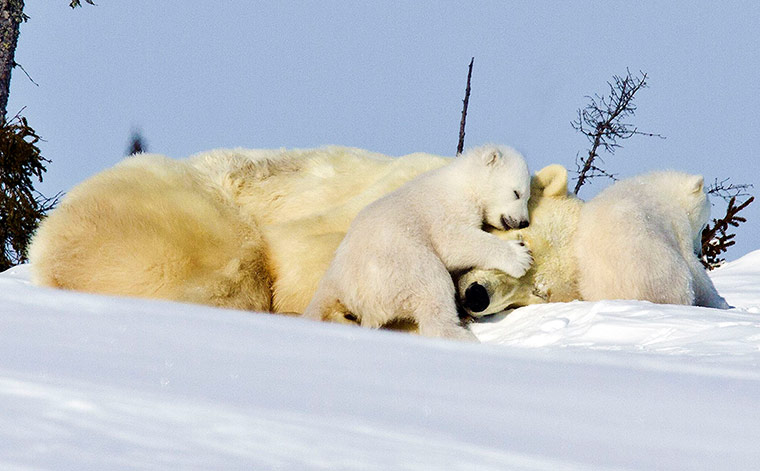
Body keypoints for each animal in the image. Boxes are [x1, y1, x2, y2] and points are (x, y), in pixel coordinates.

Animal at [300, 146, 532, 342]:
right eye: (517, 193)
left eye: (527, 197)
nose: (523, 222)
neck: (462, 182)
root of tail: (339, 284)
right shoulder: (447, 206)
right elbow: (452, 241)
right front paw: (520, 257)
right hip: (401, 265)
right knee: (434, 286)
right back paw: (461, 335)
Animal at [572, 171, 728, 308]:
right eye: (703, 226)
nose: (699, 252)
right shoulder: (677, 222)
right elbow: (693, 265)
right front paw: (720, 302)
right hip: (659, 263)